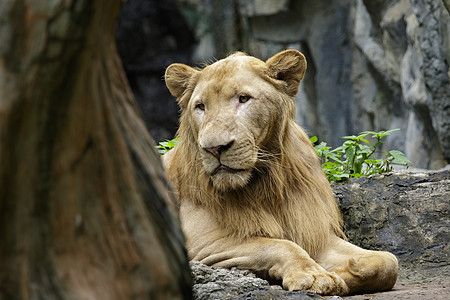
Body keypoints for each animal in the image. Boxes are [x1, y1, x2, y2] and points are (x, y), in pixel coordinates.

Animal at [162, 49, 398, 296]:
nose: (214, 148)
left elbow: (388, 261)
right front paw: (315, 276)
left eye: (243, 98)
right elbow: (280, 244)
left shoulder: (315, 233)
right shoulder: (199, 243)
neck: (267, 182)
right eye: (200, 106)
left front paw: (342, 274)